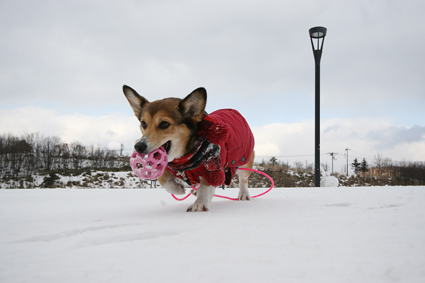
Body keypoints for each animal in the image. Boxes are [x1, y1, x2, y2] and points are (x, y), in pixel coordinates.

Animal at [123, 85, 255, 212]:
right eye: (143, 123)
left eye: (164, 124)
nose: (139, 146)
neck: (185, 159)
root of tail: (233, 110)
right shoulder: (169, 168)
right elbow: (163, 179)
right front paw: (178, 188)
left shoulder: (213, 168)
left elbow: (206, 187)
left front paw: (199, 204)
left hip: (244, 161)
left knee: (243, 179)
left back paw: (243, 194)